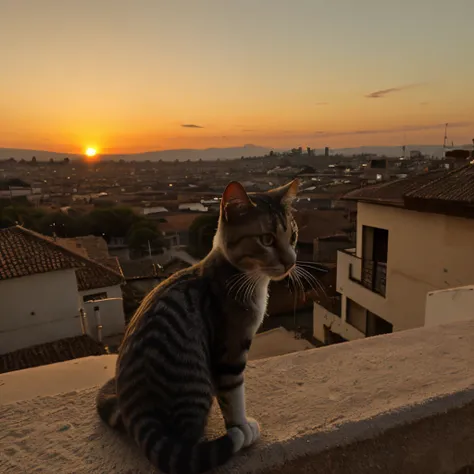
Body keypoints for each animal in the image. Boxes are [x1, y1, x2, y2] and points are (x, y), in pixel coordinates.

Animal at [94, 179, 298, 474]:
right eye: (267, 239)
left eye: (292, 236)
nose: (291, 261)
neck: (242, 275)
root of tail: (142, 414)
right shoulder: (230, 347)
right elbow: (233, 394)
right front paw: (241, 427)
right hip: (195, 381)